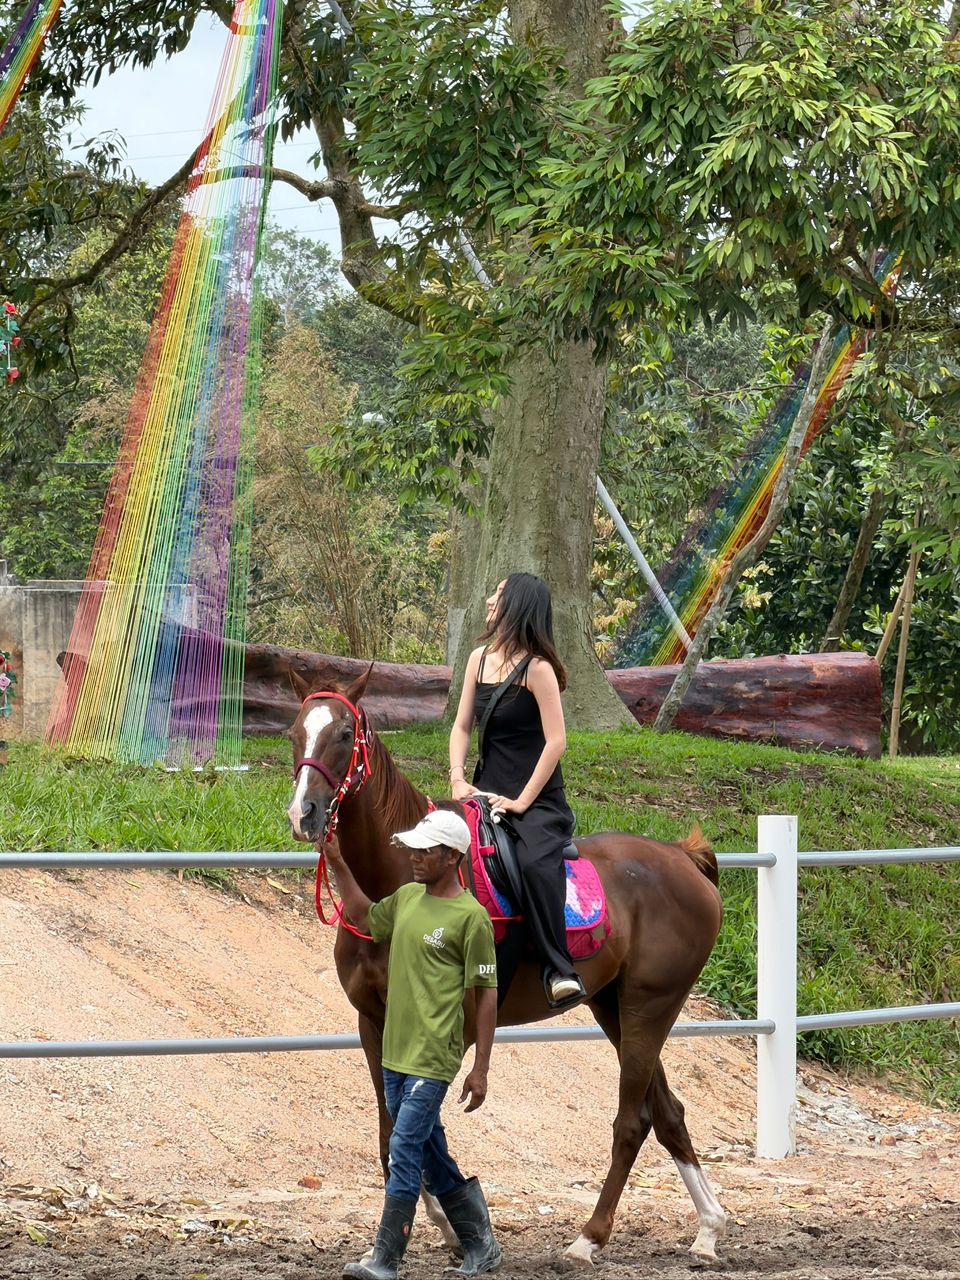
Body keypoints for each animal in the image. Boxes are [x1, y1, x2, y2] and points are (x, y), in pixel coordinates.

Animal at [285, 666, 726, 1268]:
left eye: (343, 734)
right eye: (294, 734)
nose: (303, 813)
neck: (396, 888)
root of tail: (683, 858)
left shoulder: (455, 1029)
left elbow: (414, 1129)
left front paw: (451, 1225)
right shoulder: (375, 1023)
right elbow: (391, 1130)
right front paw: (440, 1225)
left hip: (649, 1007)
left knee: (632, 1121)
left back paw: (589, 1237)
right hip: (614, 1007)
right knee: (669, 1113)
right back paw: (707, 1227)